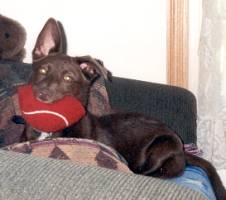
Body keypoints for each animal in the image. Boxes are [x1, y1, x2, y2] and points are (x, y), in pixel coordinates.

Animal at [27, 18, 224, 199]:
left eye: (68, 78)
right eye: (43, 70)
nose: (42, 95)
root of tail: (183, 153)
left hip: (165, 144)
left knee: (148, 172)